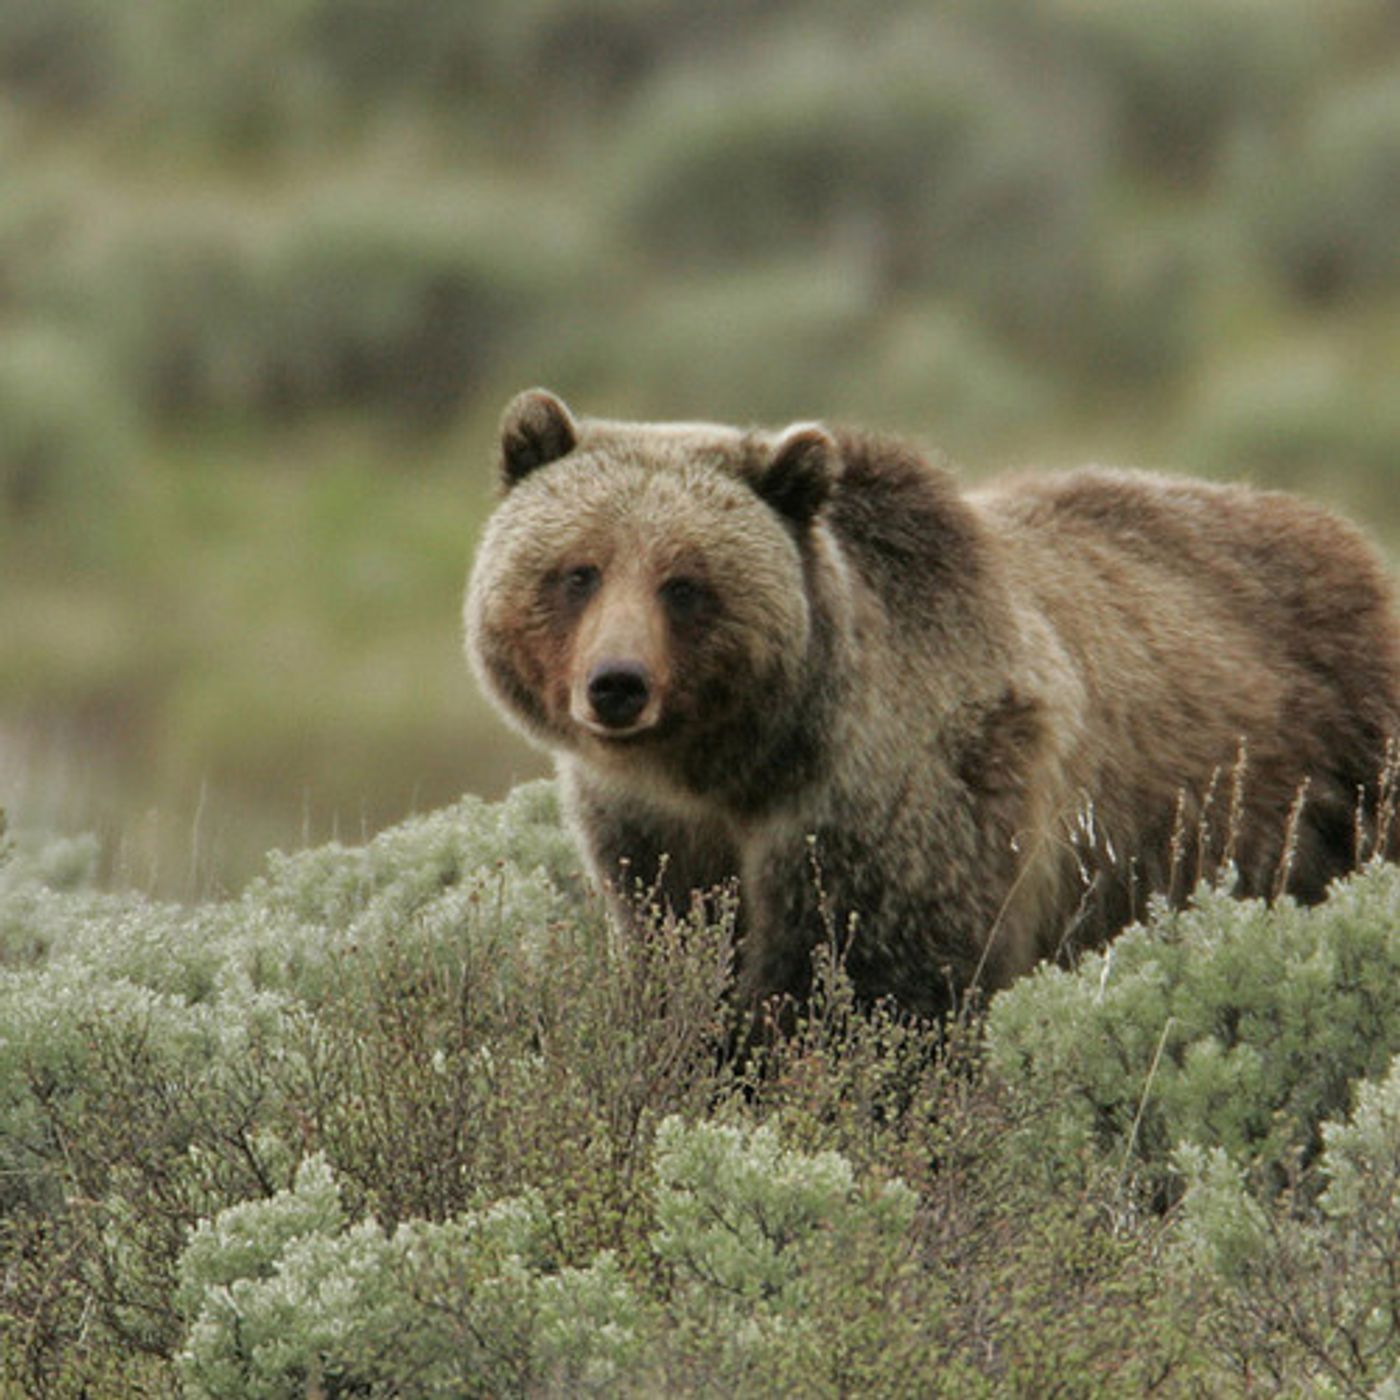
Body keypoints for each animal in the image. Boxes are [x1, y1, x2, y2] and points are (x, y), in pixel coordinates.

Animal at [465, 388, 1400, 1021]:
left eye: (686, 584)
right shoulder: (655, 834)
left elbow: (882, 983)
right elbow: (685, 954)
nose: (618, 684)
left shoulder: (906, 798)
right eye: (578, 571)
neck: (739, 766)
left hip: (1333, 771)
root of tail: (1355, 541)